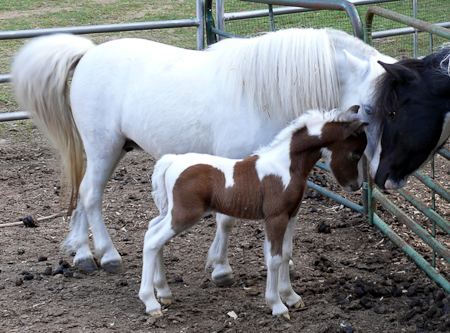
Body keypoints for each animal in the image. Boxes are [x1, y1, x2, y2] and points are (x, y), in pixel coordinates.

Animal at [12, 28, 396, 282]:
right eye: (370, 109)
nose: (381, 175)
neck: (262, 94)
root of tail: (88, 54)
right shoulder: (236, 165)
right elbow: (226, 219)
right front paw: (221, 268)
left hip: (107, 150)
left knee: (81, 192)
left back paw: (82, 253)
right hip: (103, 147)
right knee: (91, 195)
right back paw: (107, 255)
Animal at [139, 106, 368, 316]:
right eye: (356, 154)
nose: (356, 185)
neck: (285, 165)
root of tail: (171, 161)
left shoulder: (291, 215)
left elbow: (286, 253)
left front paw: (291, 297)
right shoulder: (275, 217)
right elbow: (274, 258)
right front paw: (277, 305)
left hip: (171, 212)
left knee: (153, 231)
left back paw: (164, 292)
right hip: (185, 214)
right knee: (152, 240)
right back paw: (151, 303)